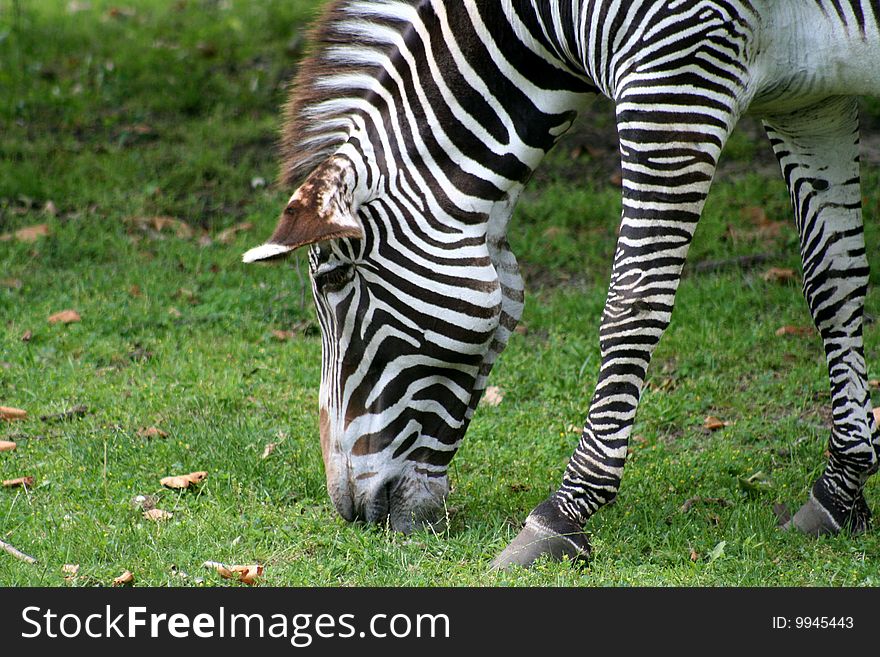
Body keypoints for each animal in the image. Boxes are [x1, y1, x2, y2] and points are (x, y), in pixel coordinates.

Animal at [242, 0, 880, 568]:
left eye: (336, 279)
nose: (349, 512)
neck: (552, 15)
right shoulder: (810, 99)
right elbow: (834, 282)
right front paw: (840, 489)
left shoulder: (678, 71)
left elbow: (633, 301)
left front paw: (562, 516)